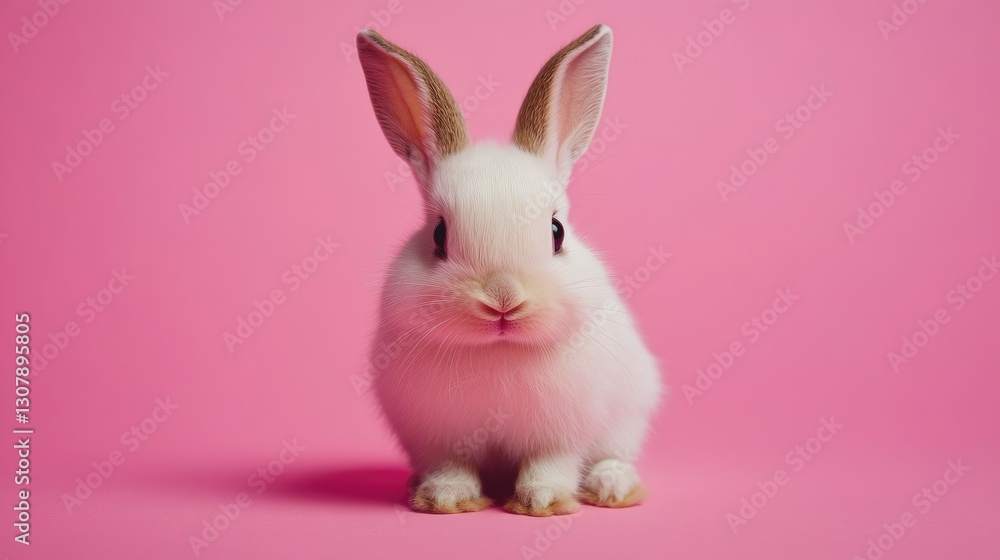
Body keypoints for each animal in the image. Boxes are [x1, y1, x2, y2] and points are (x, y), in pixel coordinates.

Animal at [356, 24, 663, 516]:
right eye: (438, 235)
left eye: (557, 231)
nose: (504, 300)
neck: (500, 350)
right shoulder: (439, 438)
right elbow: (452, 466)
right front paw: (445, 498)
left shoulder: (560, 435)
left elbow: (549, 465)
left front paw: (543, 501)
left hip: (629, 416)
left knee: (613, 456)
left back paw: (612, 487)